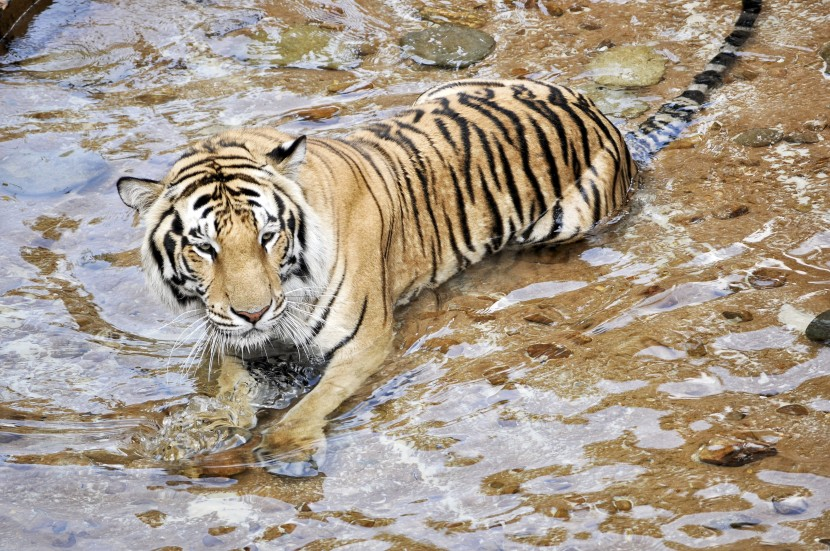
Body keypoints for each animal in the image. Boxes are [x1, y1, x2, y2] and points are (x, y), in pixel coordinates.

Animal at [118, 0, 768, 476]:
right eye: (204, 246)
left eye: (269, 236)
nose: (253, 313)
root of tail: (612, 126)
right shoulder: (228, 335)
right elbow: (228, 382)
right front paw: (205, 428)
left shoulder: (366, 340)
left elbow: (318, 396)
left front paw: (289, 444)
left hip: (568, 218)